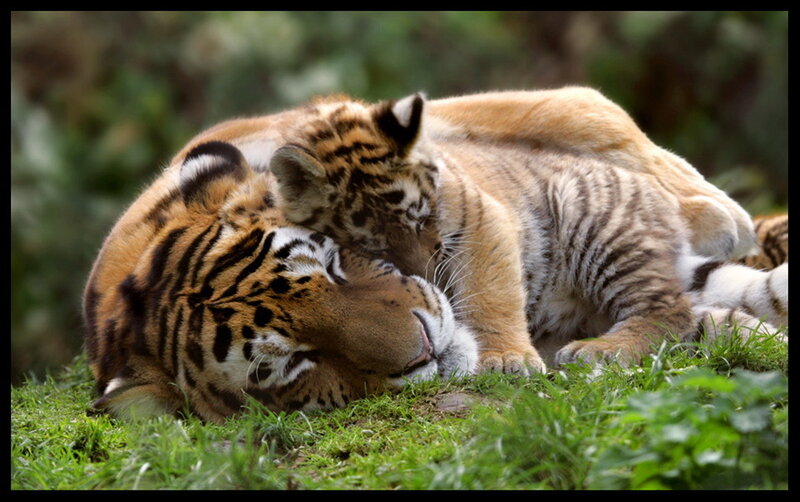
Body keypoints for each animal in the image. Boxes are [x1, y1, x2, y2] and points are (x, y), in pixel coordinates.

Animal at [262, 89, 787, 371]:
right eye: (374, 248)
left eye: (425, 219)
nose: (430, 279)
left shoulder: (480, 218)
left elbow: (490, 291)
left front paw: (505, 358)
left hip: (600, 230)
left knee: (668, 310)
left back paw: (597, 351)